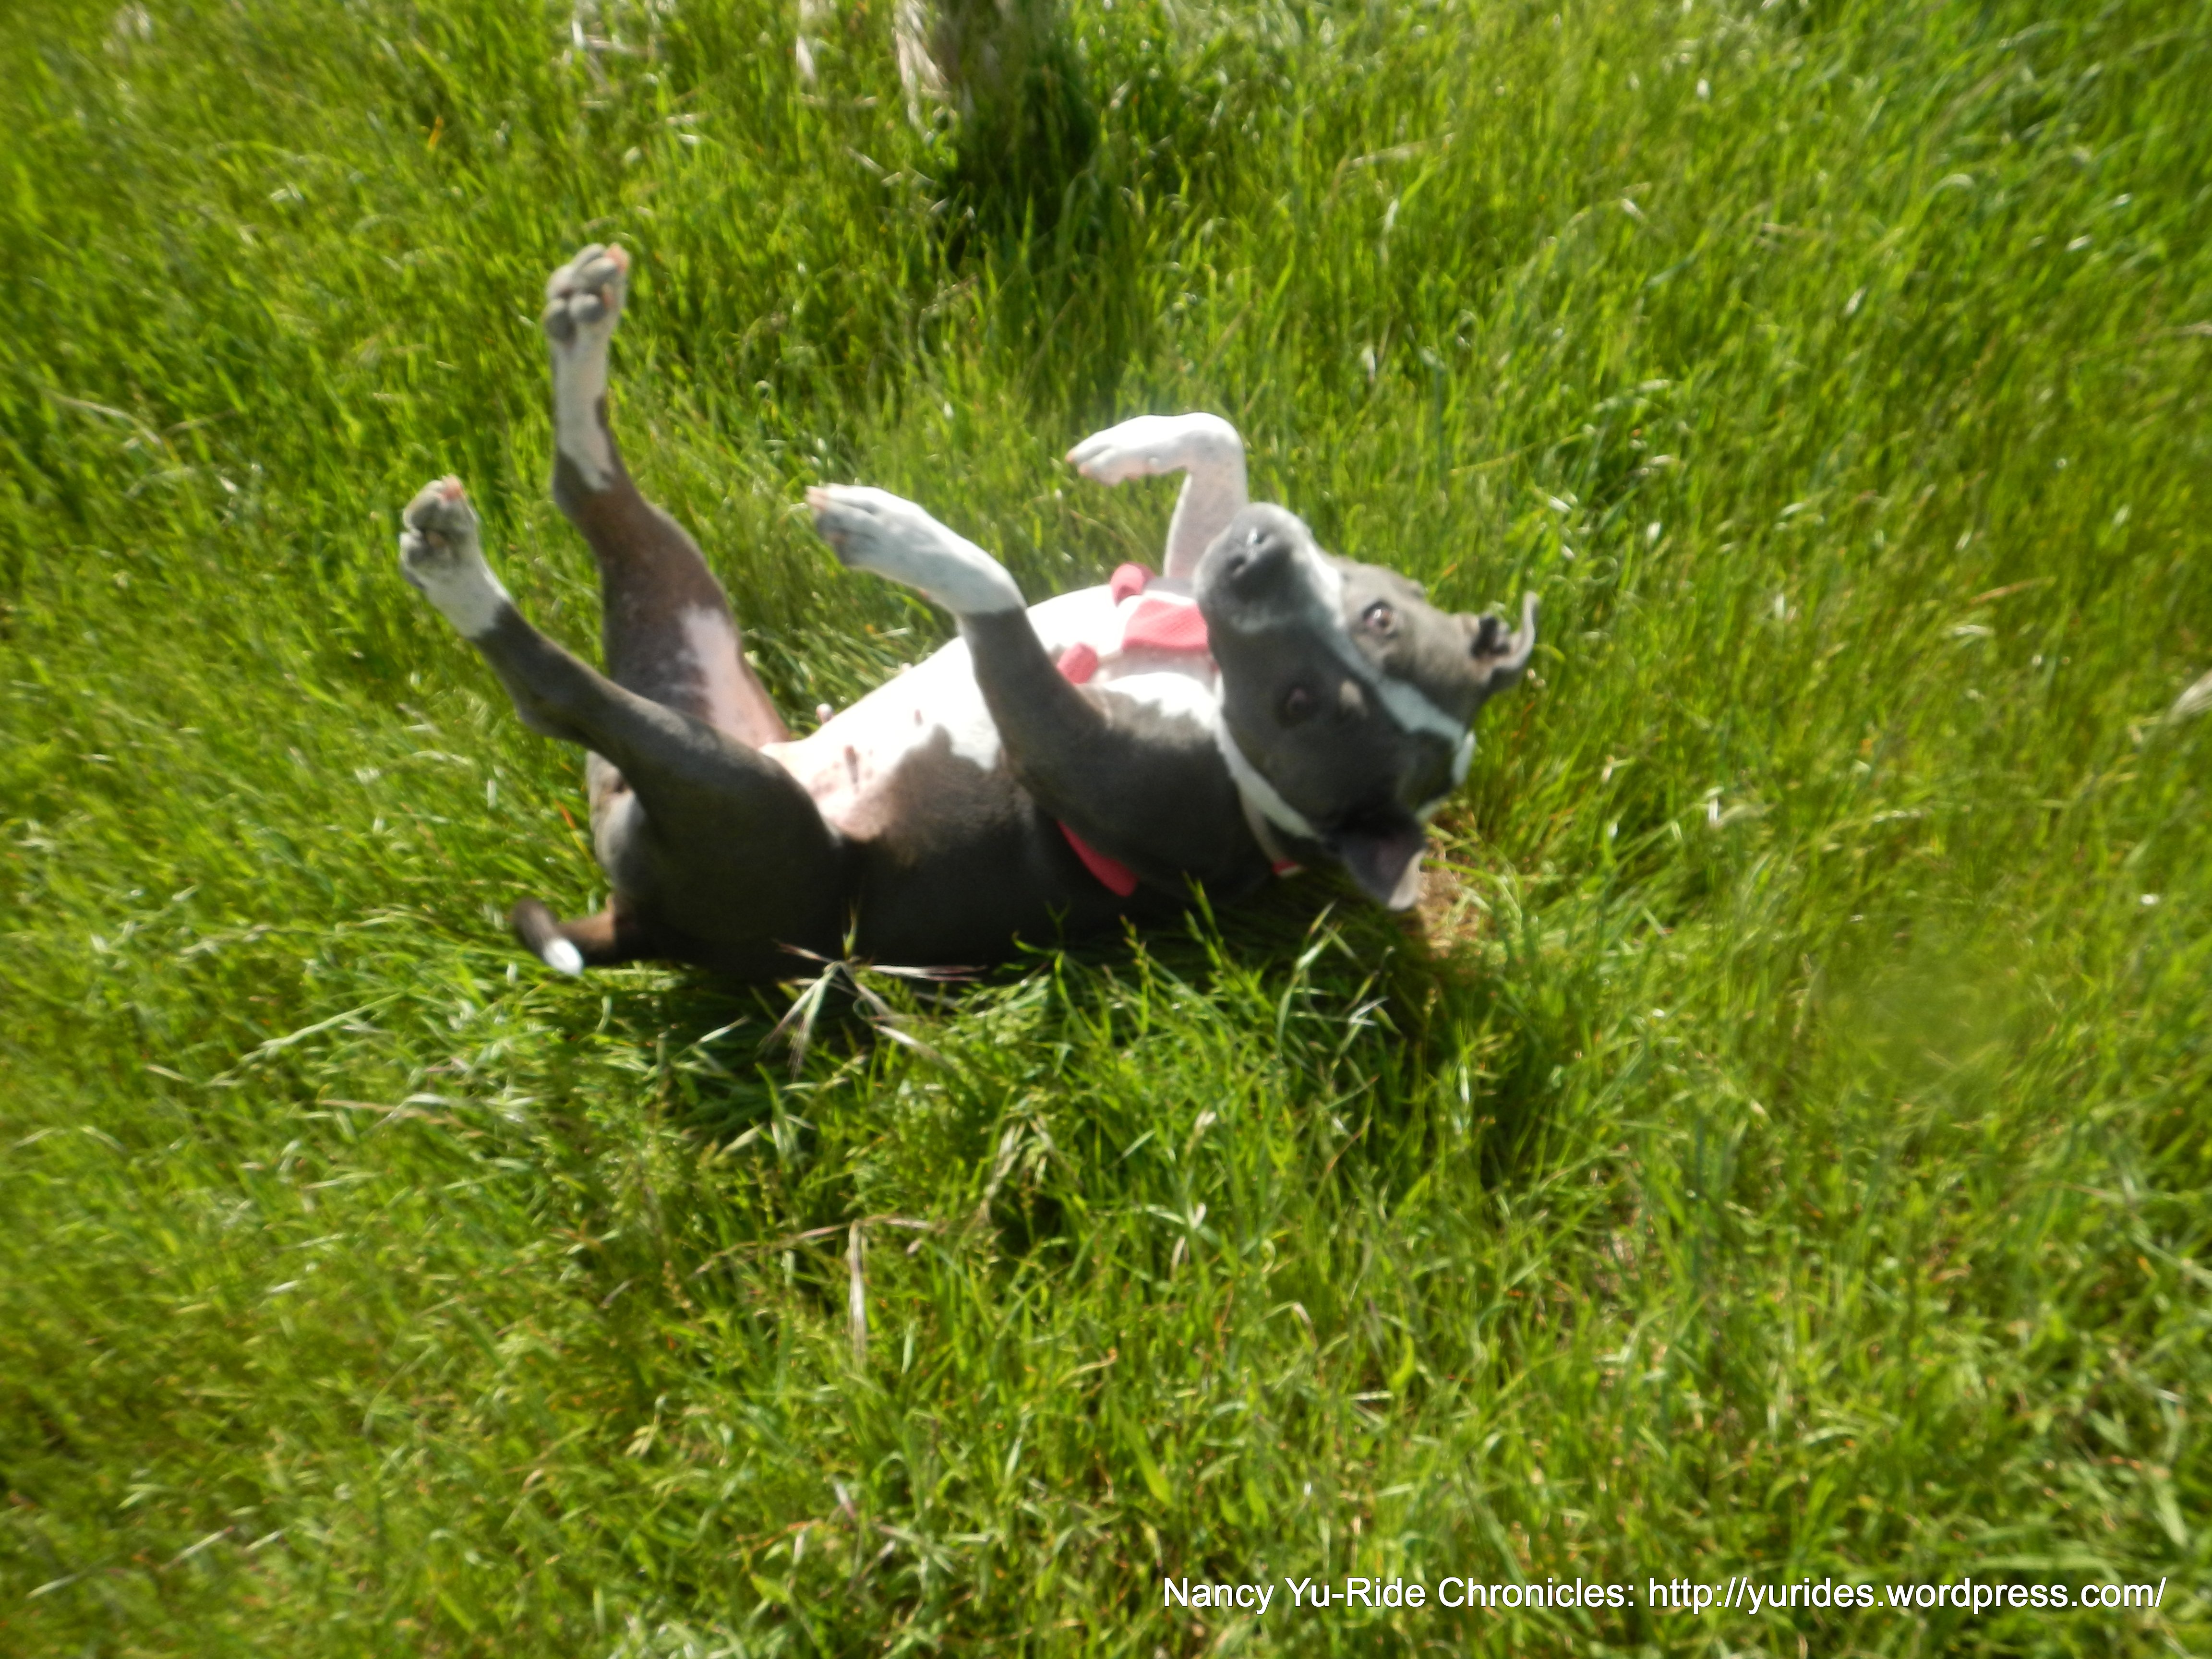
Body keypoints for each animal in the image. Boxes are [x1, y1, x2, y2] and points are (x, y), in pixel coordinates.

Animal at [396, 244, 1537, 979]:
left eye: (1301, 706)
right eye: (1382, 610)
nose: (1259, 554)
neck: (1203, 679)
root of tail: (637, 926)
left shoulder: (1073, 748)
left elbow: (992, 593)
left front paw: (897, 534)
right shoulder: (1189, 580)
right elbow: (1220, 433)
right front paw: (1133, 441)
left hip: (748, 804)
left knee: (560, 691)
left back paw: (459, 574)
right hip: (689, 632)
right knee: (591, 494)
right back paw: (580, 317)